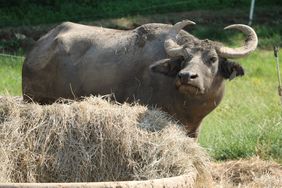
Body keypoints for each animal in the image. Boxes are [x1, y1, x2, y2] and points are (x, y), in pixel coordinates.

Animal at [22, 20, 258, 137]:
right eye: (184, 58)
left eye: (212, 59)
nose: (185, 76)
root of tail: (38, 46)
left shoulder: (193, 131)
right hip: (33, 98)